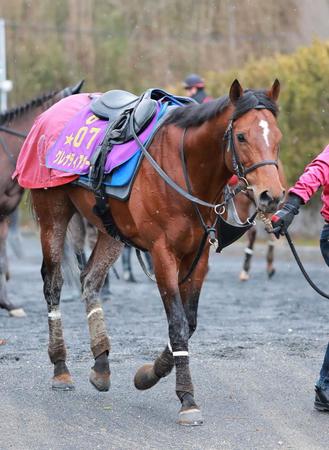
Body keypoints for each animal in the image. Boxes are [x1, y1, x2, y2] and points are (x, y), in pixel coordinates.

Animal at [25, 80, 284, 426]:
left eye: (277, 137)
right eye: (241, 136)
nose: (272, 195)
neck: (184, 166)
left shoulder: (198, 256)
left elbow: (190, 323)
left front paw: (149, 373)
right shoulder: (163, 254)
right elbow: (177, 323)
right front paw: (187, 398)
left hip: (110, 229)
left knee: (90, 279)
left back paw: (101, 363)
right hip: (52, 211)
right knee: (53, 283)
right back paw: (61, 367)